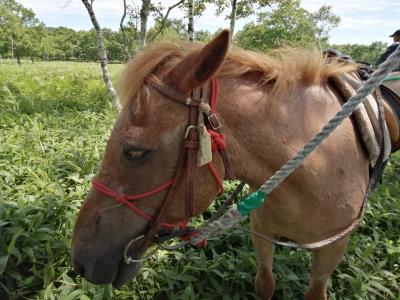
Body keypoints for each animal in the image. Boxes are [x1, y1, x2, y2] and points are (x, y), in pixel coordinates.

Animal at [70, 31, 398, 300]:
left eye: (135, 152)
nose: (80, 260)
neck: (312, 168)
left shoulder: (333, 248)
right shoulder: (261, 230)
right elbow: (265, 284)